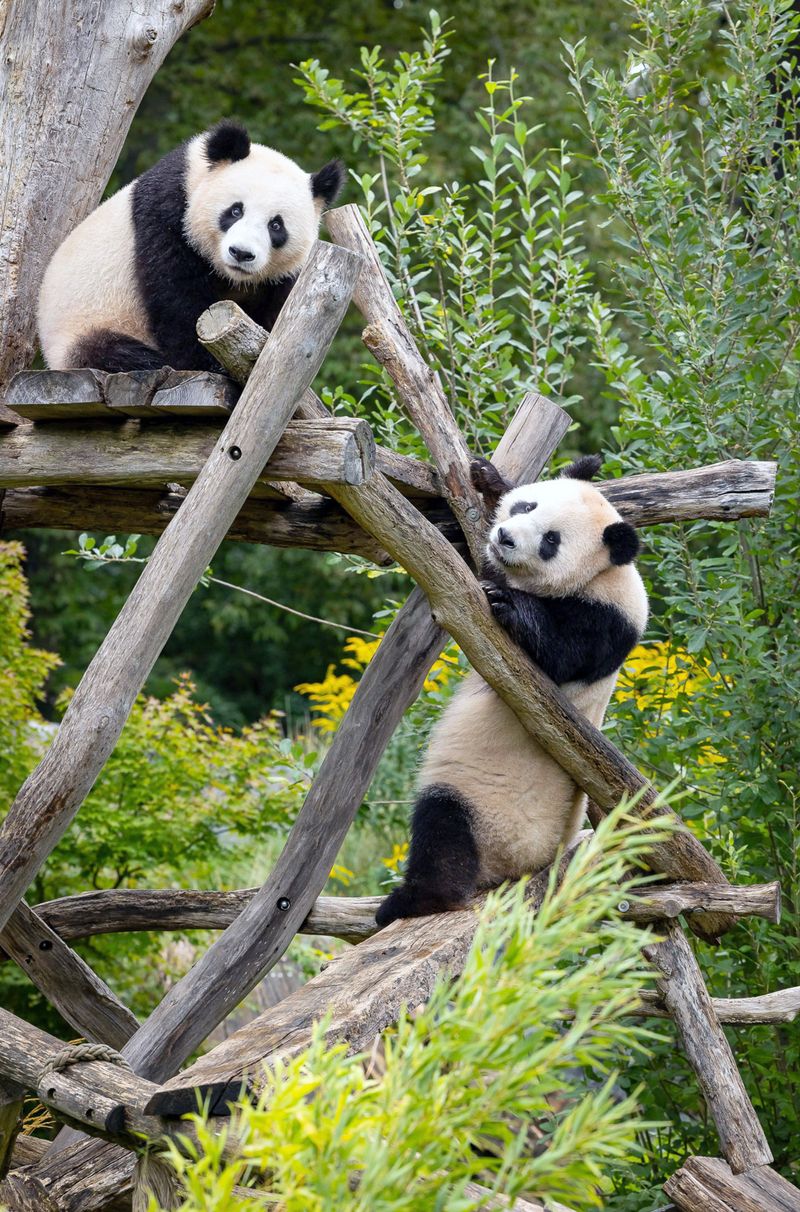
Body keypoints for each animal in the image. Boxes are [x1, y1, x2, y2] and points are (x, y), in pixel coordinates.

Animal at [38, 121, 344, 373]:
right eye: (235, 211)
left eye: (276, 226)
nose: (241, 253)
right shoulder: (166, 213)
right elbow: (176, 297)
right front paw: (210, 364)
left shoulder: (281, 276)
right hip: (86, 326)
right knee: (112, 353)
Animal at [375, 455, 649, 925]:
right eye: (527, 507)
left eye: (551, 541)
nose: (505, 537)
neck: (604, 573)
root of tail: (536, 863)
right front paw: (488, 479)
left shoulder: (606, 621)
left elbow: (557, 651)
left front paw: (507, 603)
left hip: (491, 809)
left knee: (444, 829)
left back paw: (411, 901)